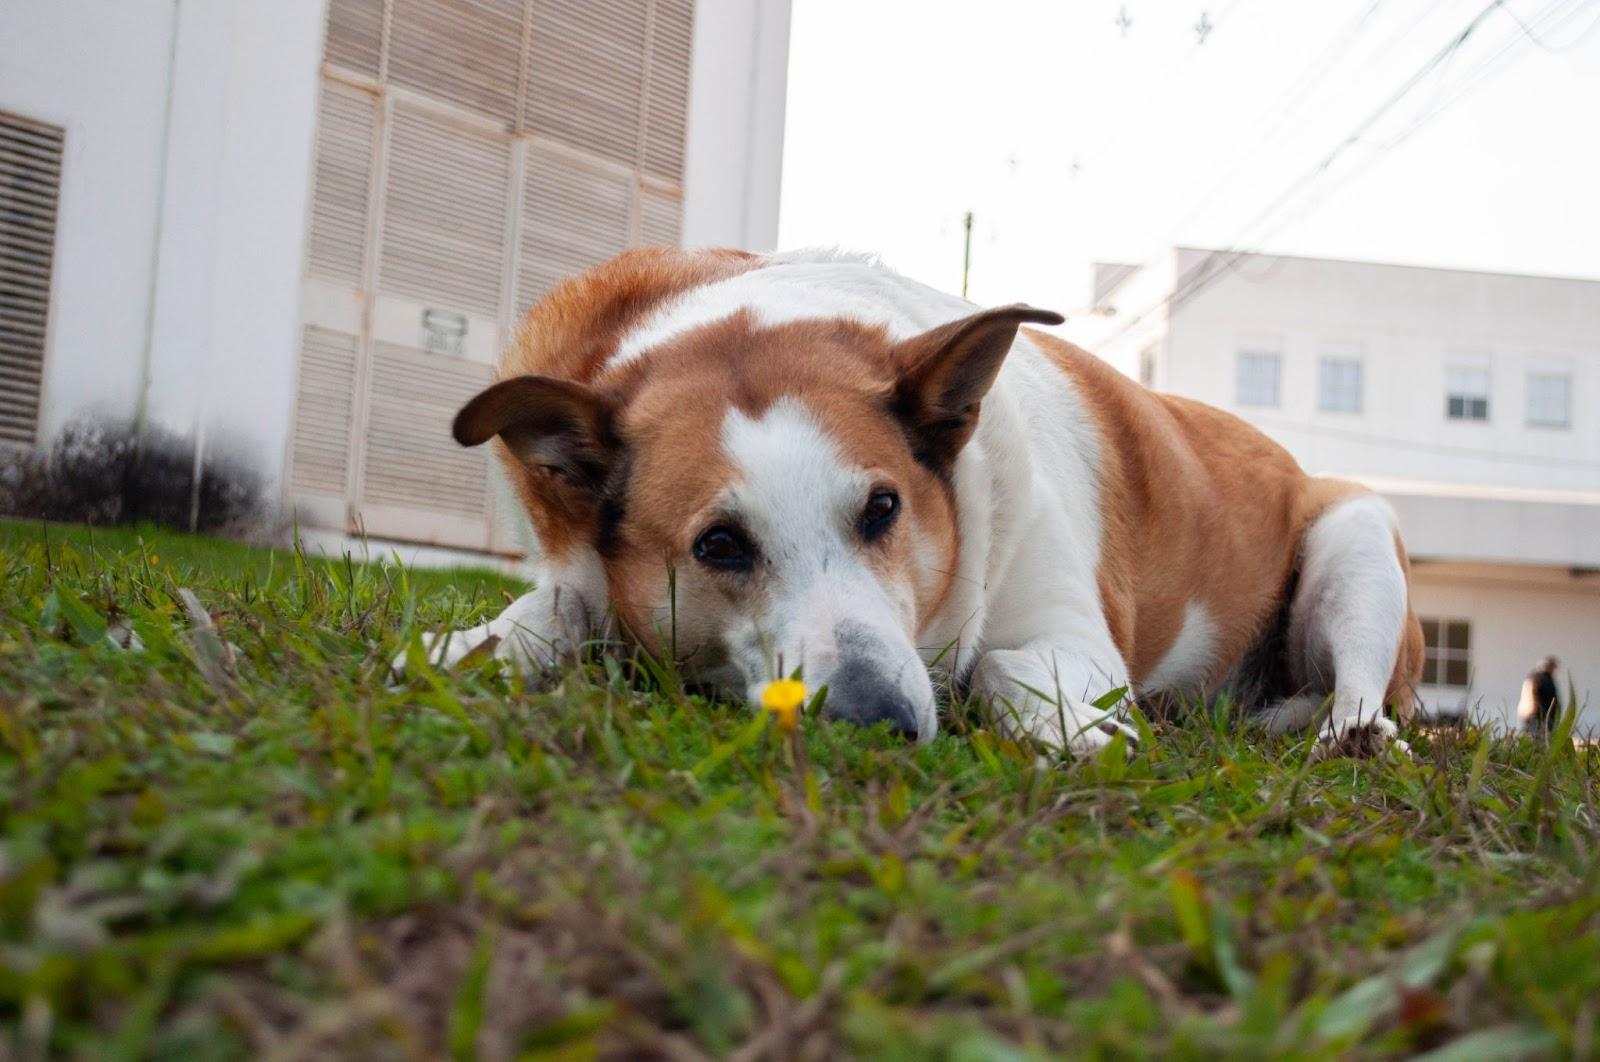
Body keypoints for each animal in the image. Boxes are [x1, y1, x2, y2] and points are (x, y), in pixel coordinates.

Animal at [400, 246, 1427, 754]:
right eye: (720, 546)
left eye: (883, 510)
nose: (874, 724)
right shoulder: (575, 565)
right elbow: (549, 610)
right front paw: (469, 647)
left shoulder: (1069, 632)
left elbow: (1001, 666)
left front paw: (1076, 728)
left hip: (1358, 544)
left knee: (1364, 694)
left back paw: (1334, 729)